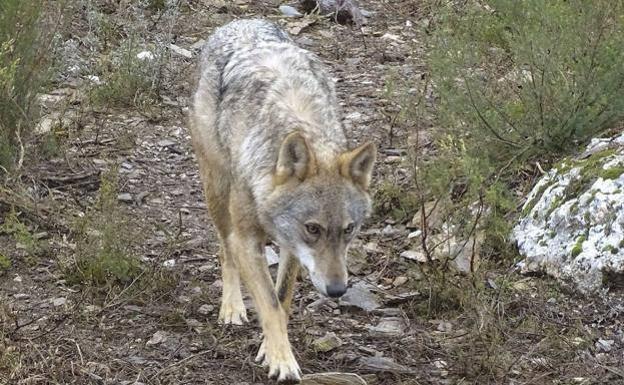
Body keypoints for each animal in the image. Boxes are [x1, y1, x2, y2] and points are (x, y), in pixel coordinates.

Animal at [190, 18, 376, 380]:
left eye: (349, 230)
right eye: (313, 228)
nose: (338, 291)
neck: (297, 118)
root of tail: (241, 21)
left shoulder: (291, 246)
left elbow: (282, 299)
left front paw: (269, 348)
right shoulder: (248, 239)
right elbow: (270, 304)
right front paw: (283, 361)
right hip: (217, 192)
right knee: (224, 249)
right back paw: (232, 307)